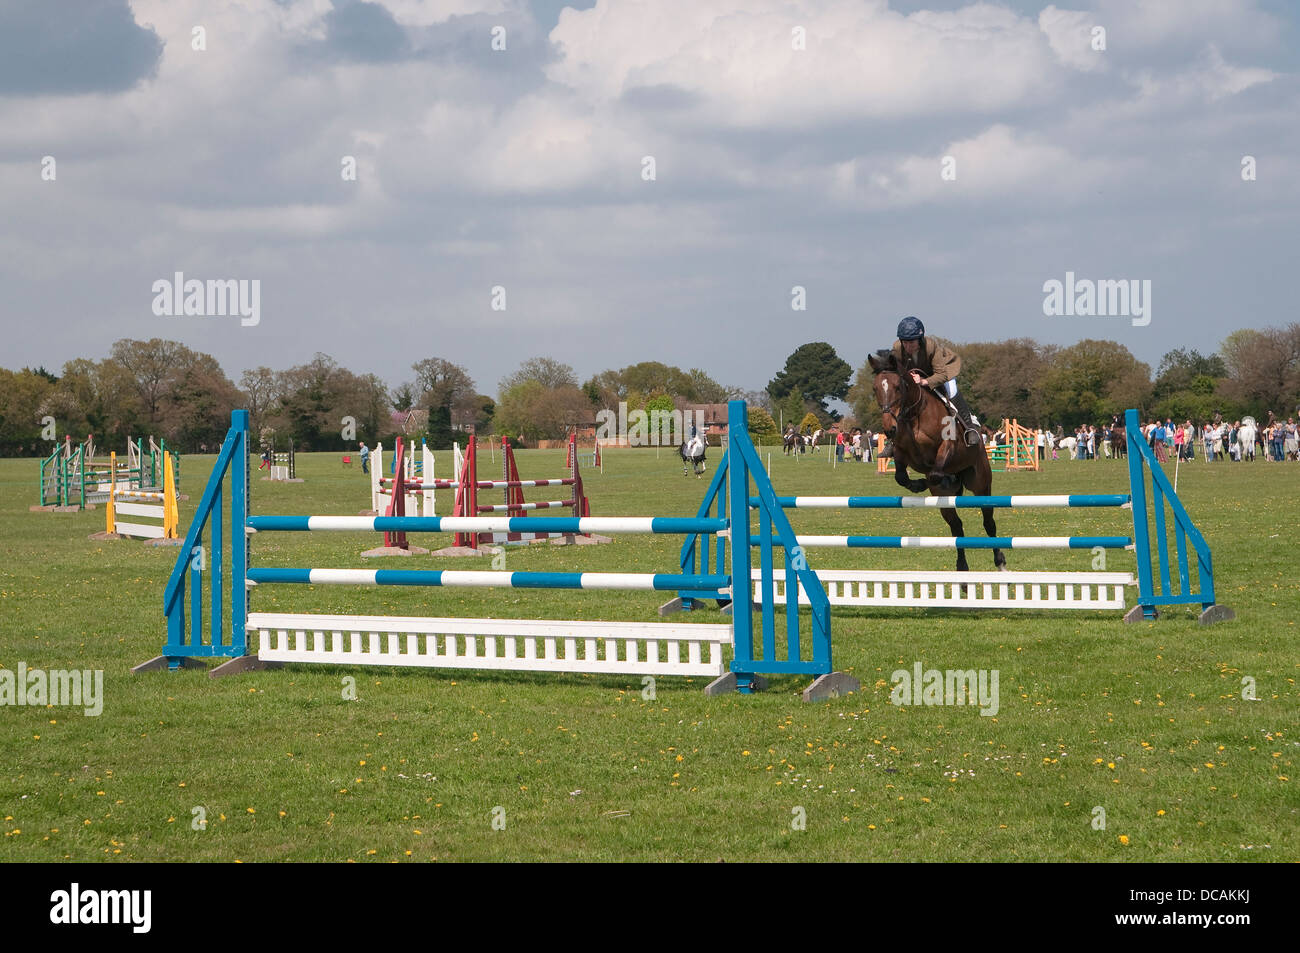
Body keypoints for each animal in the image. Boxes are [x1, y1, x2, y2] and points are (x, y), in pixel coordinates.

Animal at [873, 348, 1003, 572]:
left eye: (898, 387)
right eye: (875, 389)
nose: (889, 429)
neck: (914, 414)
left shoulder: (948, 445)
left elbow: (934, 472)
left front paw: (927, 480)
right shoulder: (900, 450)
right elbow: (901, 476)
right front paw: (918, 484)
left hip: (980, 484)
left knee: (988, 522)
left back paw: (1000, 561)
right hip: (945, 500)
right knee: (956, 527)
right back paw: (962, 568)